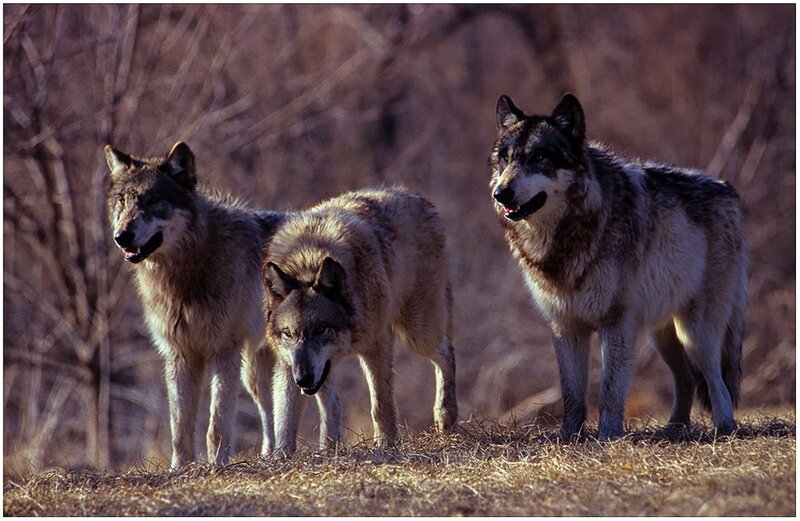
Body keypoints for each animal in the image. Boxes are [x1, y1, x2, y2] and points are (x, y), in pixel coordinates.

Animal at [105, 141, 291, 467]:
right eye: (122, 201)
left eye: (154, 200)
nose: (122, 236)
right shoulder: (180, 354)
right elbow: (179, 426)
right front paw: (180, 468)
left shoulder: (223, 351)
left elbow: (216, 423)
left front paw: (217, 464)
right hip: (254, 372)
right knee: (269, 411)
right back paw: (271, 455)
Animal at [261, 187, 458, 454]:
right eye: (288, 333)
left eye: (321, 329)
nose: (303, 379)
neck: (308, 261)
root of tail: (418, 198)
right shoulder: (287, 364)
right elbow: (284, 419)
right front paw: (280, 457)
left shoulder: (377, 345)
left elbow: (380, 406)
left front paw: (386, 445)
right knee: (332, 404)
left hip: (417, 332)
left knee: (447, 353)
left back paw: (446, 415)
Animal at [489, 93, 747, 440]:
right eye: (505, 159)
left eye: (539, 157)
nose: (500, 193)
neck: (569, 235)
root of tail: (727, 189)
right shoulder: (565, 326)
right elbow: (571, 394)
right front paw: (568, 437)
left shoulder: (616, 322)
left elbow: (610, 389)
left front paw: (608, 435)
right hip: (663, 335)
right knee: (687, 378)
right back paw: (674, 429)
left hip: (697, 331)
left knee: (716, 380)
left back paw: (724, 427)